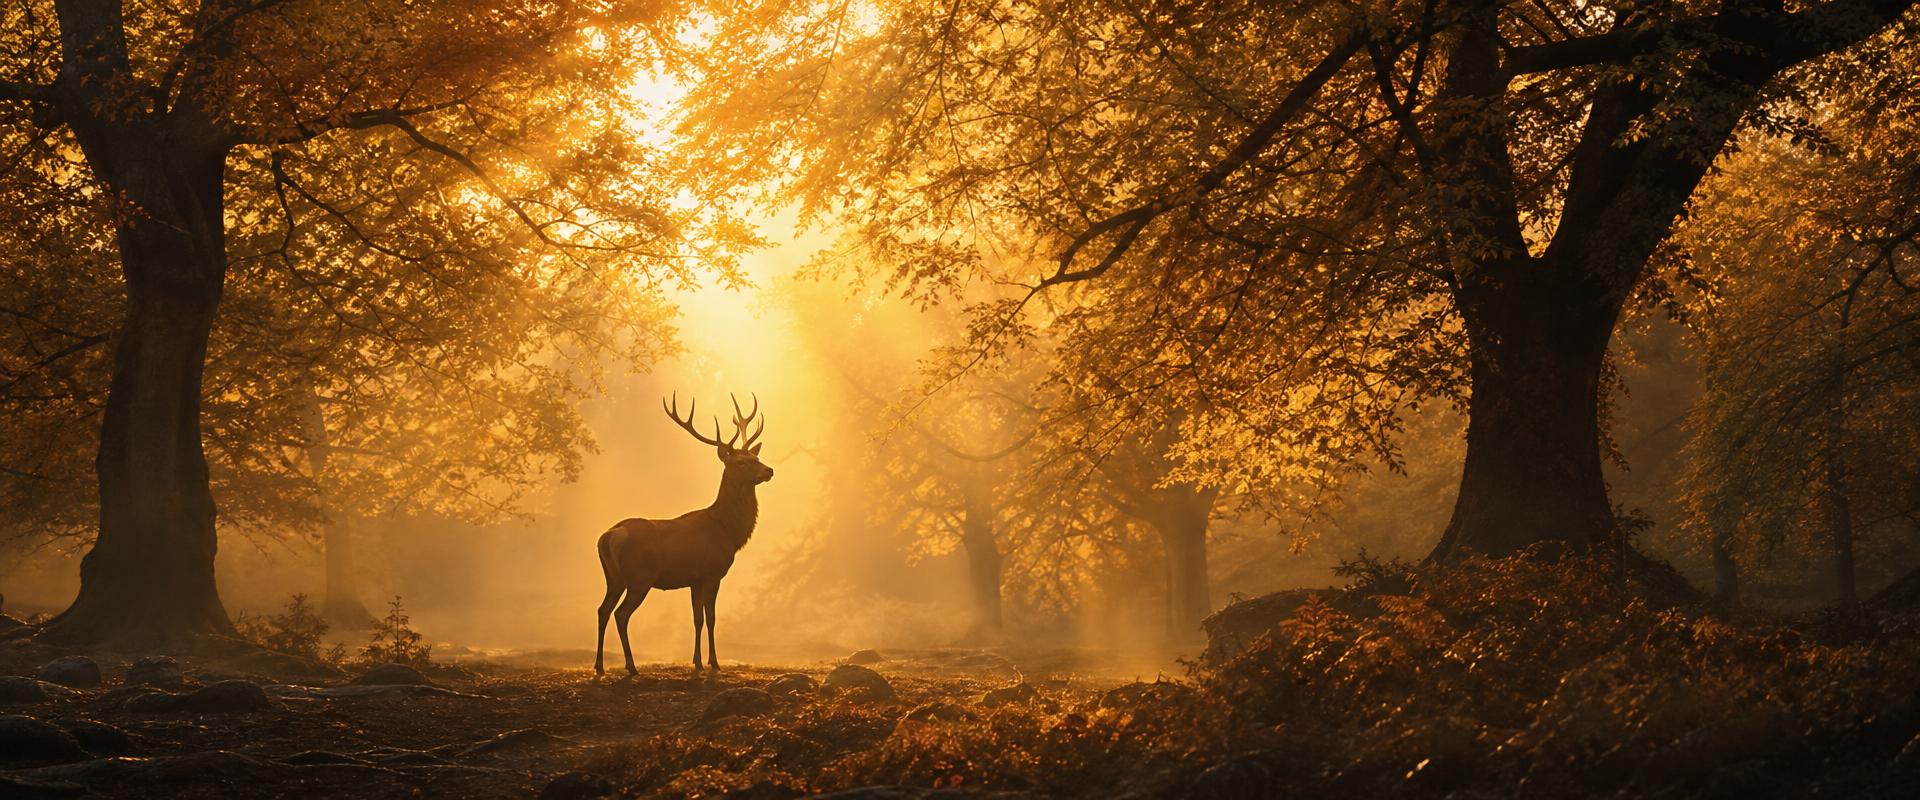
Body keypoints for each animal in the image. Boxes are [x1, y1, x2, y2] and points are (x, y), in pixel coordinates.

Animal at [594, 392, 773, 676]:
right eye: (741, 462)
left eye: (756, 458)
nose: (769, 470)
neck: (727, 530)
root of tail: (611, 535)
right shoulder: (712, 572)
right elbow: (711, 618)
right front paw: (714, 662)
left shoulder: (694, 579)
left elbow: (697, 619)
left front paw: (697, 661)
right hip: (639, 578)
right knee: (621, 615)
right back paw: (631, 667)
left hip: (613, 577)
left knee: (602, 610)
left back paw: (600, 666)